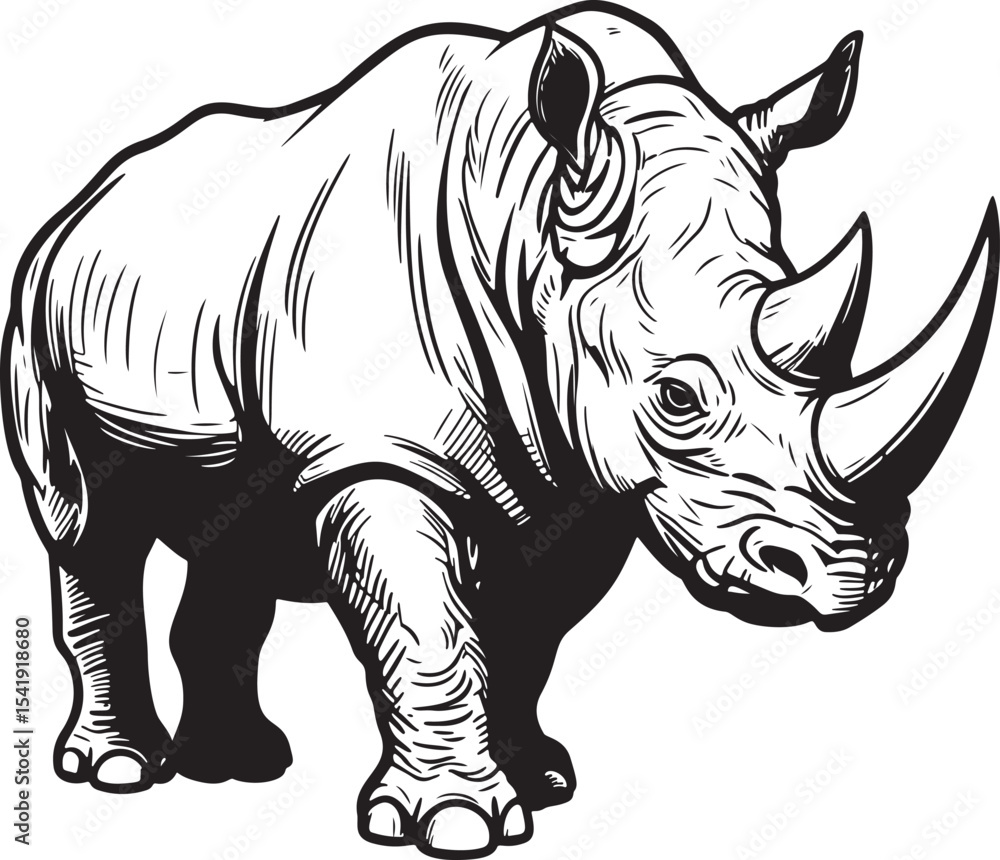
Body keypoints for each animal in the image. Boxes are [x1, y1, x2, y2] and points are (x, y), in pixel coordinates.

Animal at [3, 2, 996, 856]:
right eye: (677, 398)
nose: (858, 574)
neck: (531, 220)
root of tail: (82, 201)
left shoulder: (578, 477)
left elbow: (529, 631)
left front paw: (539, 785)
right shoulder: (377, 454)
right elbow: (426, 627)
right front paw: (453, 826)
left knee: (234, 525)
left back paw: (242, 767)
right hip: (38, 304)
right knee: (88, 525)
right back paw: (120, 770)